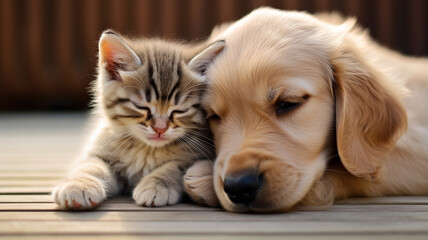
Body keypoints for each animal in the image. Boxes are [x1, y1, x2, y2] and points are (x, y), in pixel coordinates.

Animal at [52, 31, 226, 209]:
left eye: (180, 110)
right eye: (140, 106)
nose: (160, 128)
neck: (146, 149)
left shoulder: (197, 153)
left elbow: (175, 166)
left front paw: (156, 185)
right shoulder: (102, 150)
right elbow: (91, 165)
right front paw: (79, 185)